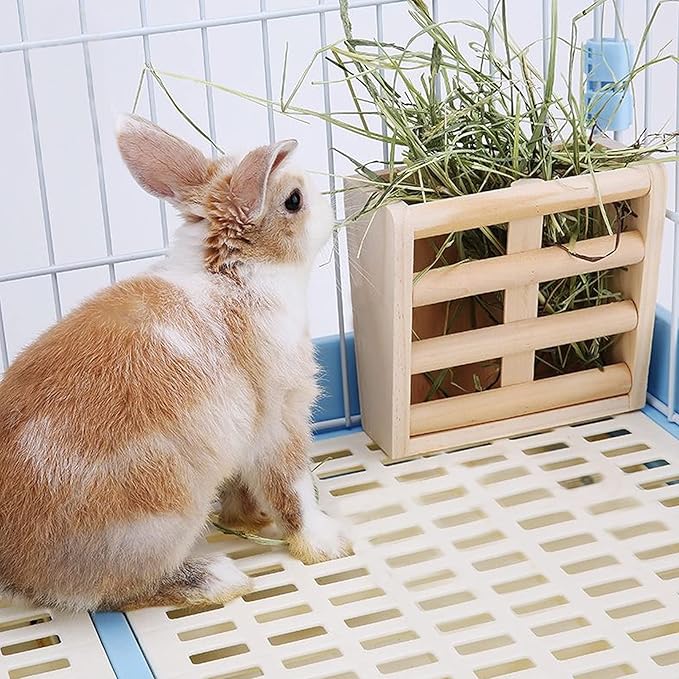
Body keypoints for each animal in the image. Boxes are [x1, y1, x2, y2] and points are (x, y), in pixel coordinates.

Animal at [0, 114, 350, 611]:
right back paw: (219, 579)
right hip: (158, 519)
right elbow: (293, 489)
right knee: (118, 590)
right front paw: (327, 543)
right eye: (294, 200)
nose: (328, 206)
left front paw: (248, 520)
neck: (233, 275)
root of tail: (14, 570)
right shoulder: (278, 421)